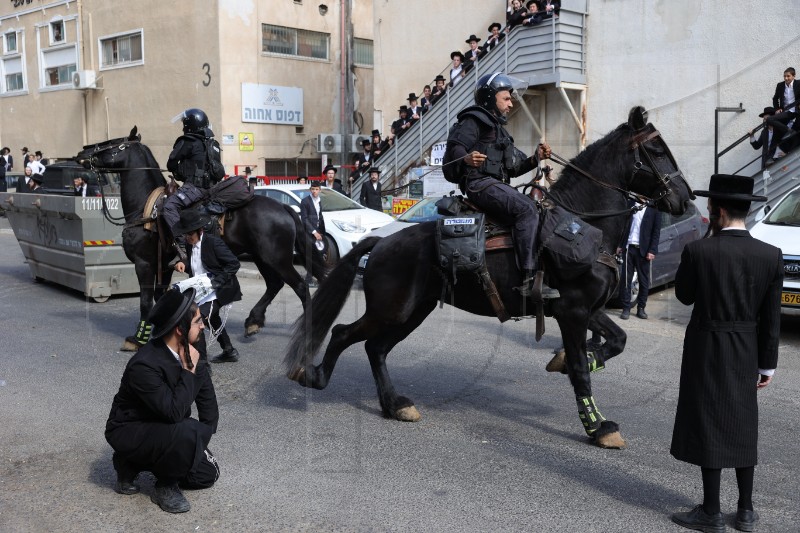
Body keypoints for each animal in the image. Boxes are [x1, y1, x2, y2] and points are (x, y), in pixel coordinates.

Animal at [75, 124, 324, 350]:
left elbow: (145, 301)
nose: (80, 155)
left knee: (300, 287)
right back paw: (254, 321)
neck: (146, 208)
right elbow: (159, 296)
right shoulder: (164, 265)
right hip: (261, 257)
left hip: (277, 259)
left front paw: (137, 338)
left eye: (112, 144)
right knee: (274, 284)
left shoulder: (143, 263)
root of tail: (284, 208)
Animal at [286, 107, 692, 444]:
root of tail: (382, 242)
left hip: (413, 312)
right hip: (392, 310)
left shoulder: (586, 310)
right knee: (346, 334)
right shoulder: (573, 312)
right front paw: (597, 426)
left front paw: (574, 359)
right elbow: (580, 368)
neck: (584, 223)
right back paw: (315, 376)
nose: (686, 198)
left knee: (375, 348)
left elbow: (617, 341)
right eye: (656, 152)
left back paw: (394, 404)